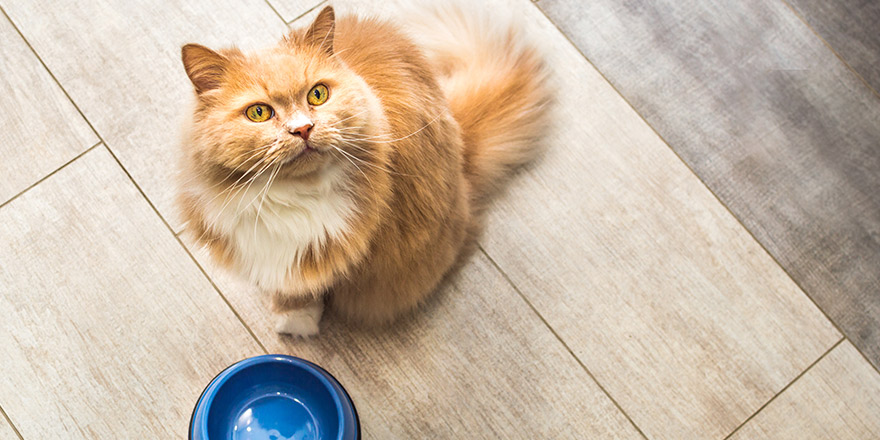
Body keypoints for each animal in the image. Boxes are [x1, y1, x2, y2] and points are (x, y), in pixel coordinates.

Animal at [178, 3, 552, 336]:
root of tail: (462, 157)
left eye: (317, 95)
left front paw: (296, 324)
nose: (303, 129)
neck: (294, 196)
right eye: (259, 113)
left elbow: (305, 287)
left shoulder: (325, 254)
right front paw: (290, 316)